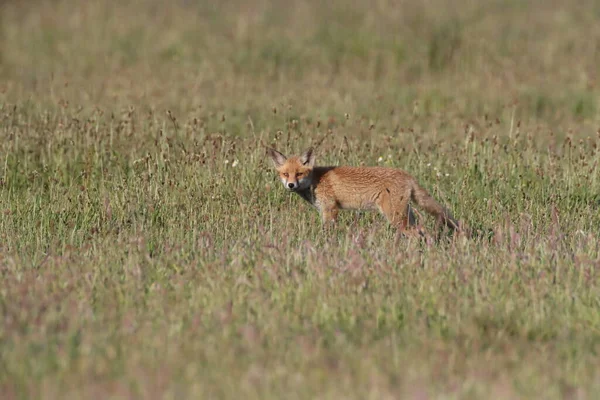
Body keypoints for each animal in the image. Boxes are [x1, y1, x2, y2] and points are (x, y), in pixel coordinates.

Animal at [268, 147, 460, 238]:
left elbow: (327, 232)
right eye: (285, 174)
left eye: (299, 173)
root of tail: (407, 175)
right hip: (406, 215)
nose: (291, 185)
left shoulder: (330, 209)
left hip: (394, 216)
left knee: (415, 235)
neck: (316, 180)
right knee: (423, 232)